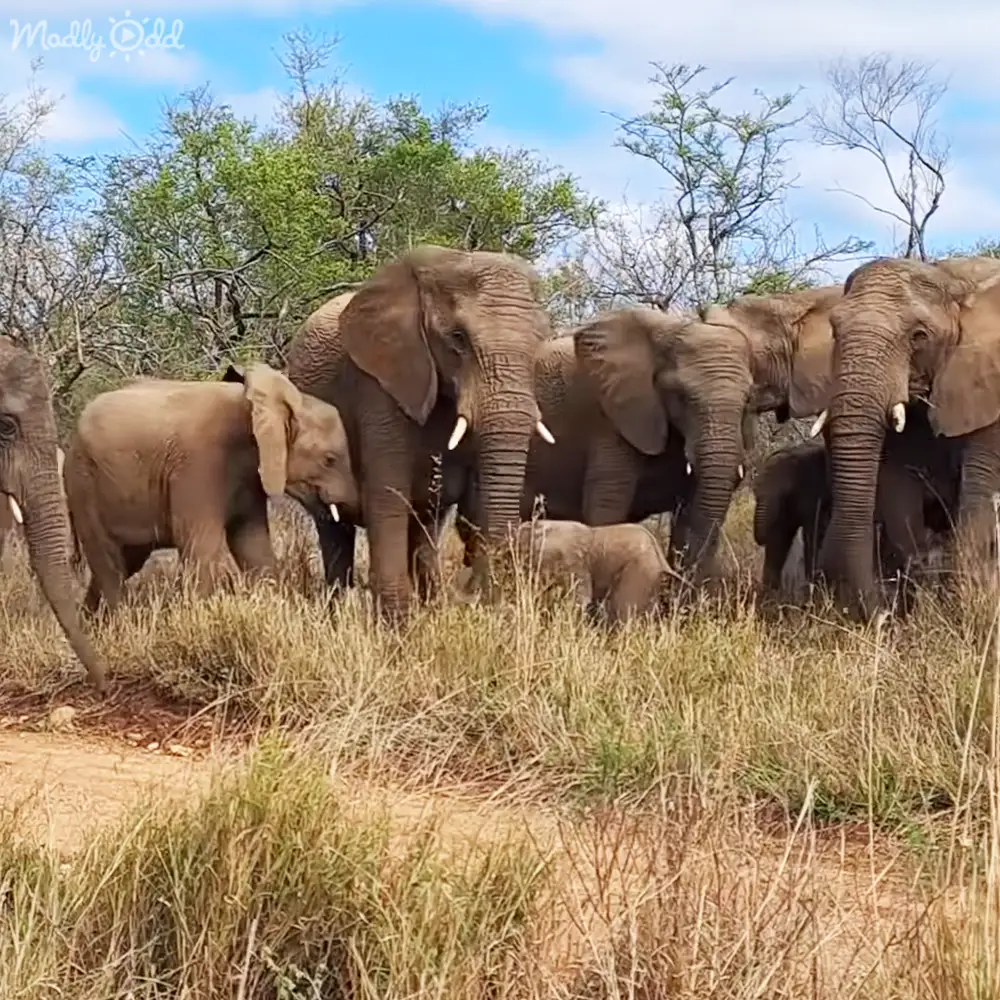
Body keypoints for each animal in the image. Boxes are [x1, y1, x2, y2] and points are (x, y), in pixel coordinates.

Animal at [64, 362, 359, 613]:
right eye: (329, 460)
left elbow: (253, 544)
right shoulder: (198, 467)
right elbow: (200, 547)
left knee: (126, 562)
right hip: (84, 485)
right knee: (110, 565)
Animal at [283, 245, 555, 617]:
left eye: (538, 341)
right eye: (458, 338)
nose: (476, 598)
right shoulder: (376, 386)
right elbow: (388, 495)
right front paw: (396, 626)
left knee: (424, 528)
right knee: (334, 530)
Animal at [816, 254, 1000, 618]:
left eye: (919, 336)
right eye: (834, 330)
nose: (881, 618)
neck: (950, 278)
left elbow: (980, 497)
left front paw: (965, 607)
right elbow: (900, 495)